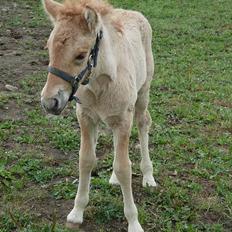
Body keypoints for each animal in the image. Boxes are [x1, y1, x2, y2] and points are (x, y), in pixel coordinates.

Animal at [40, 0, 157, 231]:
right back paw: (113, 178)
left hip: (142, 93)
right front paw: (76, 212)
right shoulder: (85, 116)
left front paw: (134, 222)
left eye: (80, 55)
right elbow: (86, 160)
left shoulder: (124, 119)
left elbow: (124, 168)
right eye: (49, 49)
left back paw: (148, 176)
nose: (50, 102)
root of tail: (133, 13)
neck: (100, 82)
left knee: (143, 123)